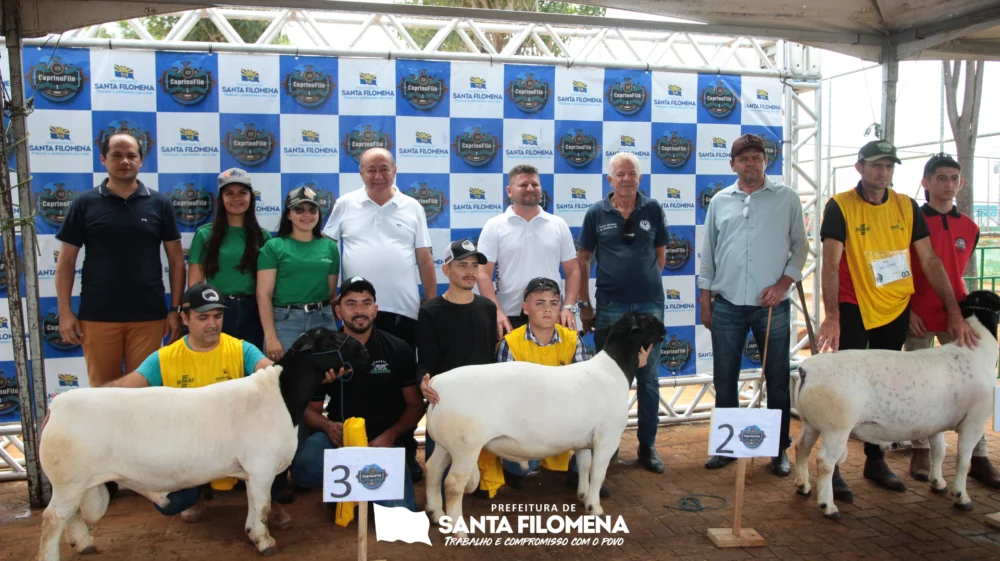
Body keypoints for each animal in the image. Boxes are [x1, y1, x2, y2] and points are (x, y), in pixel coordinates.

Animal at [36, 328, 372, 560]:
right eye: (329, 335)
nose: (363, 348)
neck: (281, 395)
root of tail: (56, 406)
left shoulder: (252, 473)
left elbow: (254, 507)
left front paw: (252, 534)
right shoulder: (261, 468)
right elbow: (262, 506)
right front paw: (264, 541)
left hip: (75, 482)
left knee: (70, 516)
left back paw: (84, 543)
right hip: (69, 479)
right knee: (52, 520)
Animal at [422, 310, 664, 532]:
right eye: (649, 320)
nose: (663, 328)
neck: (613, 369)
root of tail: (437, 383)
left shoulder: (583, 440)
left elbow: (584, 466)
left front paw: (583, 495)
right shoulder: (608, 438)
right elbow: (598, 472)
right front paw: (594, 508)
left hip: (447, 444)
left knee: (433, 469)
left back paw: (436, 514)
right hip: (466, 446)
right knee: (453, 484)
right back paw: (458, 529)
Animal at [792, 290, 996, 520]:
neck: (978, 352)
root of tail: (806, 370)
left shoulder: (935, 423)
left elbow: (939, 451)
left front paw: (938, 483)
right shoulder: (974, 422)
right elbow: (963, 460)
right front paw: (962, 497)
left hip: (811, 422)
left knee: (802, 447)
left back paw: (803, 486)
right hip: (837, 428)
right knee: (825, 462)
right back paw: (828, 506)